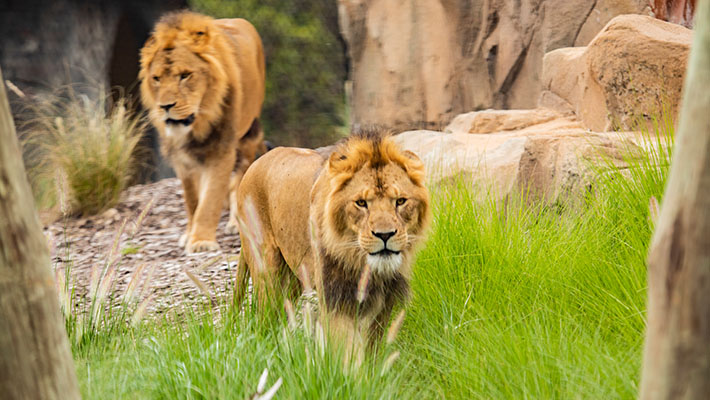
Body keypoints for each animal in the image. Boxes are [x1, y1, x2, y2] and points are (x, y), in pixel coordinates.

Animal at [139, 10, 268, 252]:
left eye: (185, 75)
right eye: (157, 78)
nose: (165, 107)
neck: (196, 124)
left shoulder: (221, 150)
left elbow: (210, 199)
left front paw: (201, 241)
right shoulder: (183, 160)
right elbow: (192, 200)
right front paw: (189, 234)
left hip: (247, 134)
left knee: (240, 179)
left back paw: (236, 223)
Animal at [236, 130, 432, 358]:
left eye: (400, 201)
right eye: (361, 203)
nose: (385, 235)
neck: (361, 264)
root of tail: (256, 163)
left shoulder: (384, 302)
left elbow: (372, 351)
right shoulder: (334, 298)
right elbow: (346, 351)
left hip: (292, 279)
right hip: (267, 273)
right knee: (265, 321)